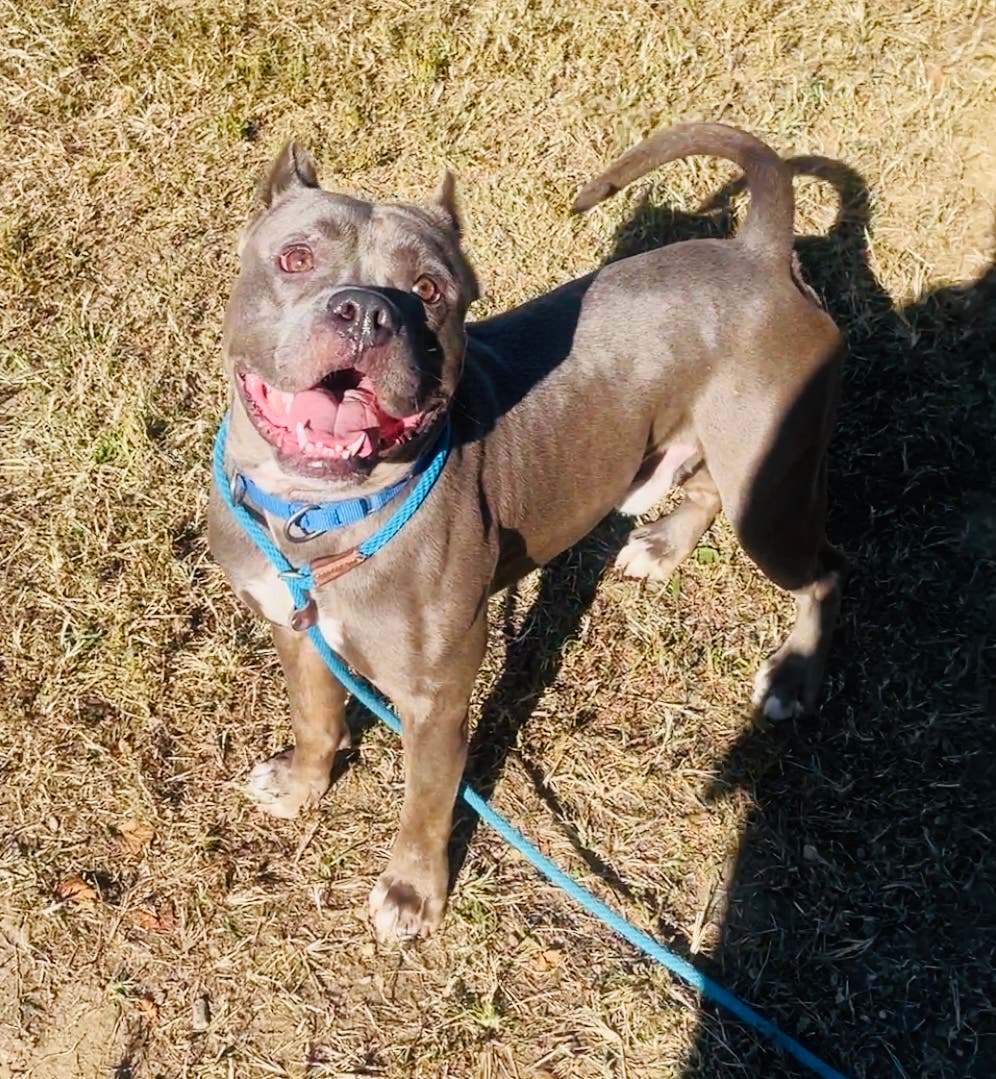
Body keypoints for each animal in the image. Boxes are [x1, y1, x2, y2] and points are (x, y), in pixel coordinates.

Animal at [209, 122, 845, 943]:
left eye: (429, 291)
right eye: (295, 258)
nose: (365, 311)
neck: (317, 513)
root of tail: (759, 252)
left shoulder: (435, 699)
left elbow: (426, 801)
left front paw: (413, 889)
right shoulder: (292, 625)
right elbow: (315, 715)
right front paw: (302, 781)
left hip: (768, 500)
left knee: (826, 569)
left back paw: (796, 675)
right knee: (705, 485)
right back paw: (662, 545)